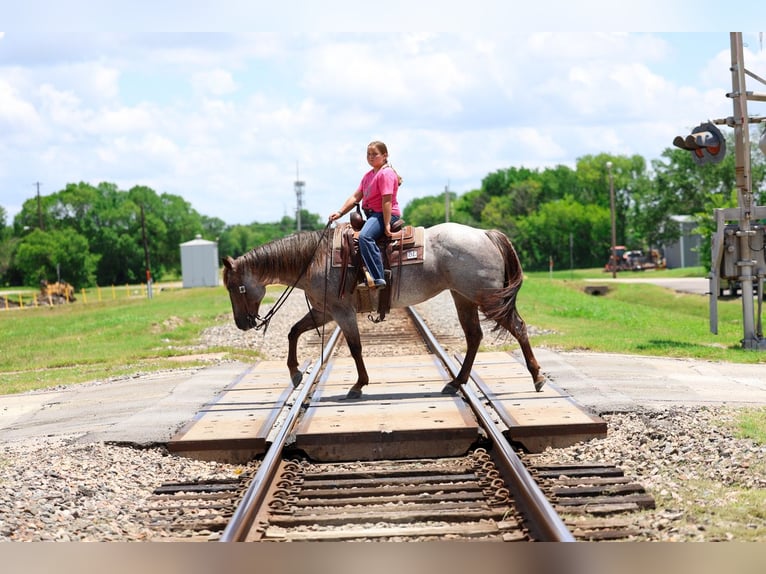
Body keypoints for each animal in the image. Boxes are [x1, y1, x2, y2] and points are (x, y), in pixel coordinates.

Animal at [222, 222, 545, 399]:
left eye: (235, 288)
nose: (241, 323)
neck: (316, 259)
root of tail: (486, 234)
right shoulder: (324, 312)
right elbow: (293, 332)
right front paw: (294, 373)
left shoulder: (341, 312)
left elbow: (355, 347)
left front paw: (358, 384)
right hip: (463, 297)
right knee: (474, 336)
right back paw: (456, 382)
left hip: (487, 298)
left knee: (517, 327)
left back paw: (537, 377)